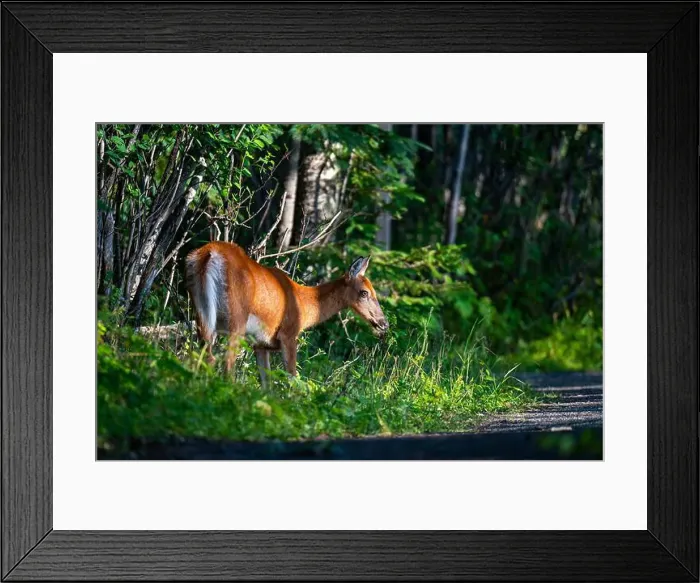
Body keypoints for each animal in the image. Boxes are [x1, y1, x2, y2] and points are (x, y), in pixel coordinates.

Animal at [185, 241, 389, 389]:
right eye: (364, 293)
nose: (383, 322)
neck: (304, 304)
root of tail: (210, 254)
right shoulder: (288, 334)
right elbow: (293, 377)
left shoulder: (260, 344)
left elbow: (267, 385)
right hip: (236, 318)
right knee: (227, 363)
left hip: (202, 314)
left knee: (204, 357)